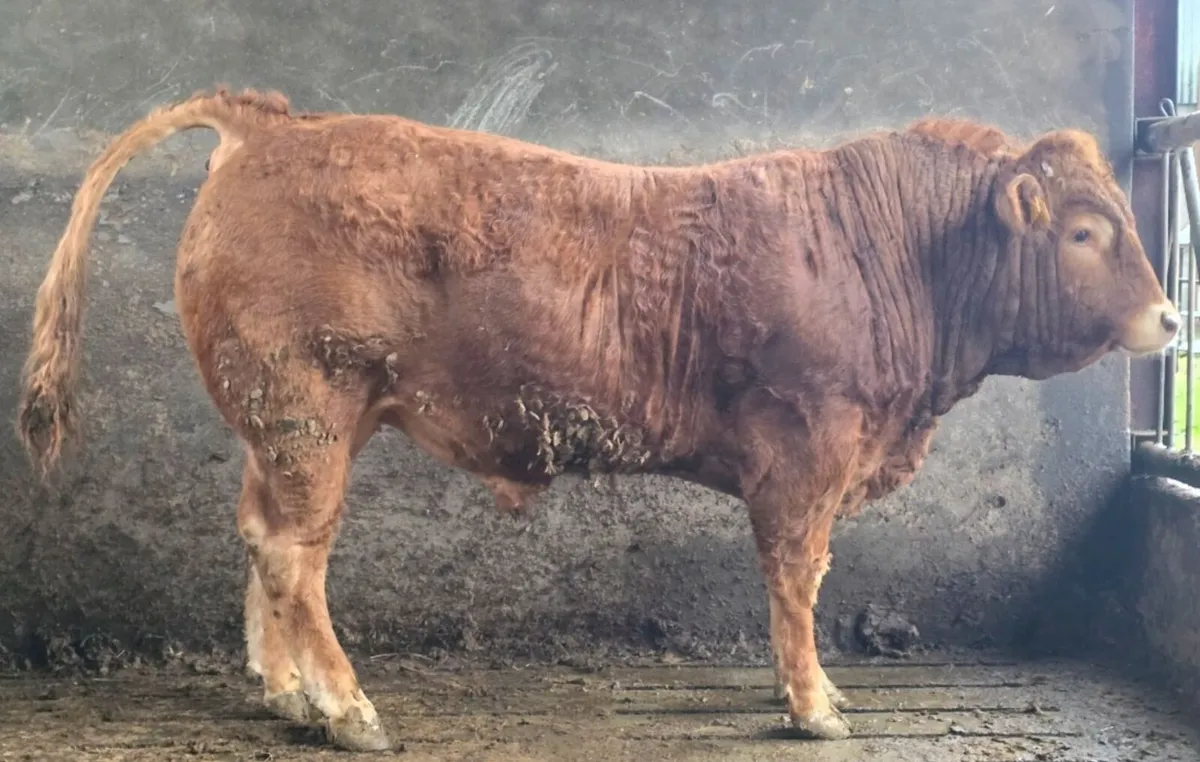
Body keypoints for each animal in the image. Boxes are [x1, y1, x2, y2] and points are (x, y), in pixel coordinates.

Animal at [16, 87, 1179, 752]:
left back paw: (284, 694)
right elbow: (797, 580)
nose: (1171, 318)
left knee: (262, 540)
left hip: (283, 427)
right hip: (308, 411)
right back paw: (347, 712)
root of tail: (272, 126)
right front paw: (813, 705)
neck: (887, 248)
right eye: (1085, 231)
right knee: (297, 555)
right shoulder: (808, 452)